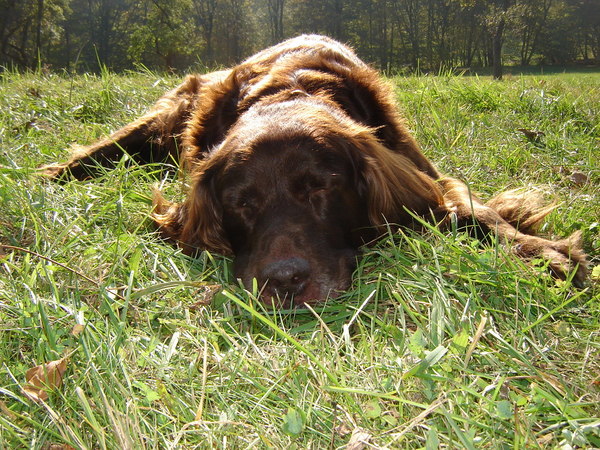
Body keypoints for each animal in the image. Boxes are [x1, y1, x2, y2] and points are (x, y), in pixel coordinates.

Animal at [42, 34, 584, 306]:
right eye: (242, 203)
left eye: (320, 189)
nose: (284, 280)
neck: (289, 89)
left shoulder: (422, 170)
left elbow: (478, 210)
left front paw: (542, 253)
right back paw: (51, 175)